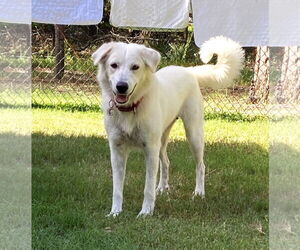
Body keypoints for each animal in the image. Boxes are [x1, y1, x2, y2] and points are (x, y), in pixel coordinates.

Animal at [92, 35, 245, 217]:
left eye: (135, 67)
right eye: (113, 65)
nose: (121, 87)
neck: (131, 109)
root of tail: (188, 71)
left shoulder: (150, 149)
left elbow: (148, 187)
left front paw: (146, 212)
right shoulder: (117, 150)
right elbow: (117, 188)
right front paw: (115, 212)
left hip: (193, 135)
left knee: (200, 166)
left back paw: (199, 193)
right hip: (161, 140)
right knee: (166, 162)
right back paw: (162, 188)